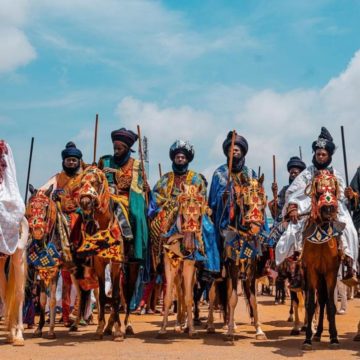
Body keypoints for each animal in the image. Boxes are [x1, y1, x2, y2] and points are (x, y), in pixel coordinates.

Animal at [158, 183, 208, 338]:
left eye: (200, 200)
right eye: (183, 199)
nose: (192, 226)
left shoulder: (189, 265)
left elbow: (188, 298)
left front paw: (191, 329)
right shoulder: (169, 263)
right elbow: (169, 297)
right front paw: (163, 329)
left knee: (186, 294)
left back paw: (184, 324)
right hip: (177, 273)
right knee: (179, 293)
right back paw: (178, 324)